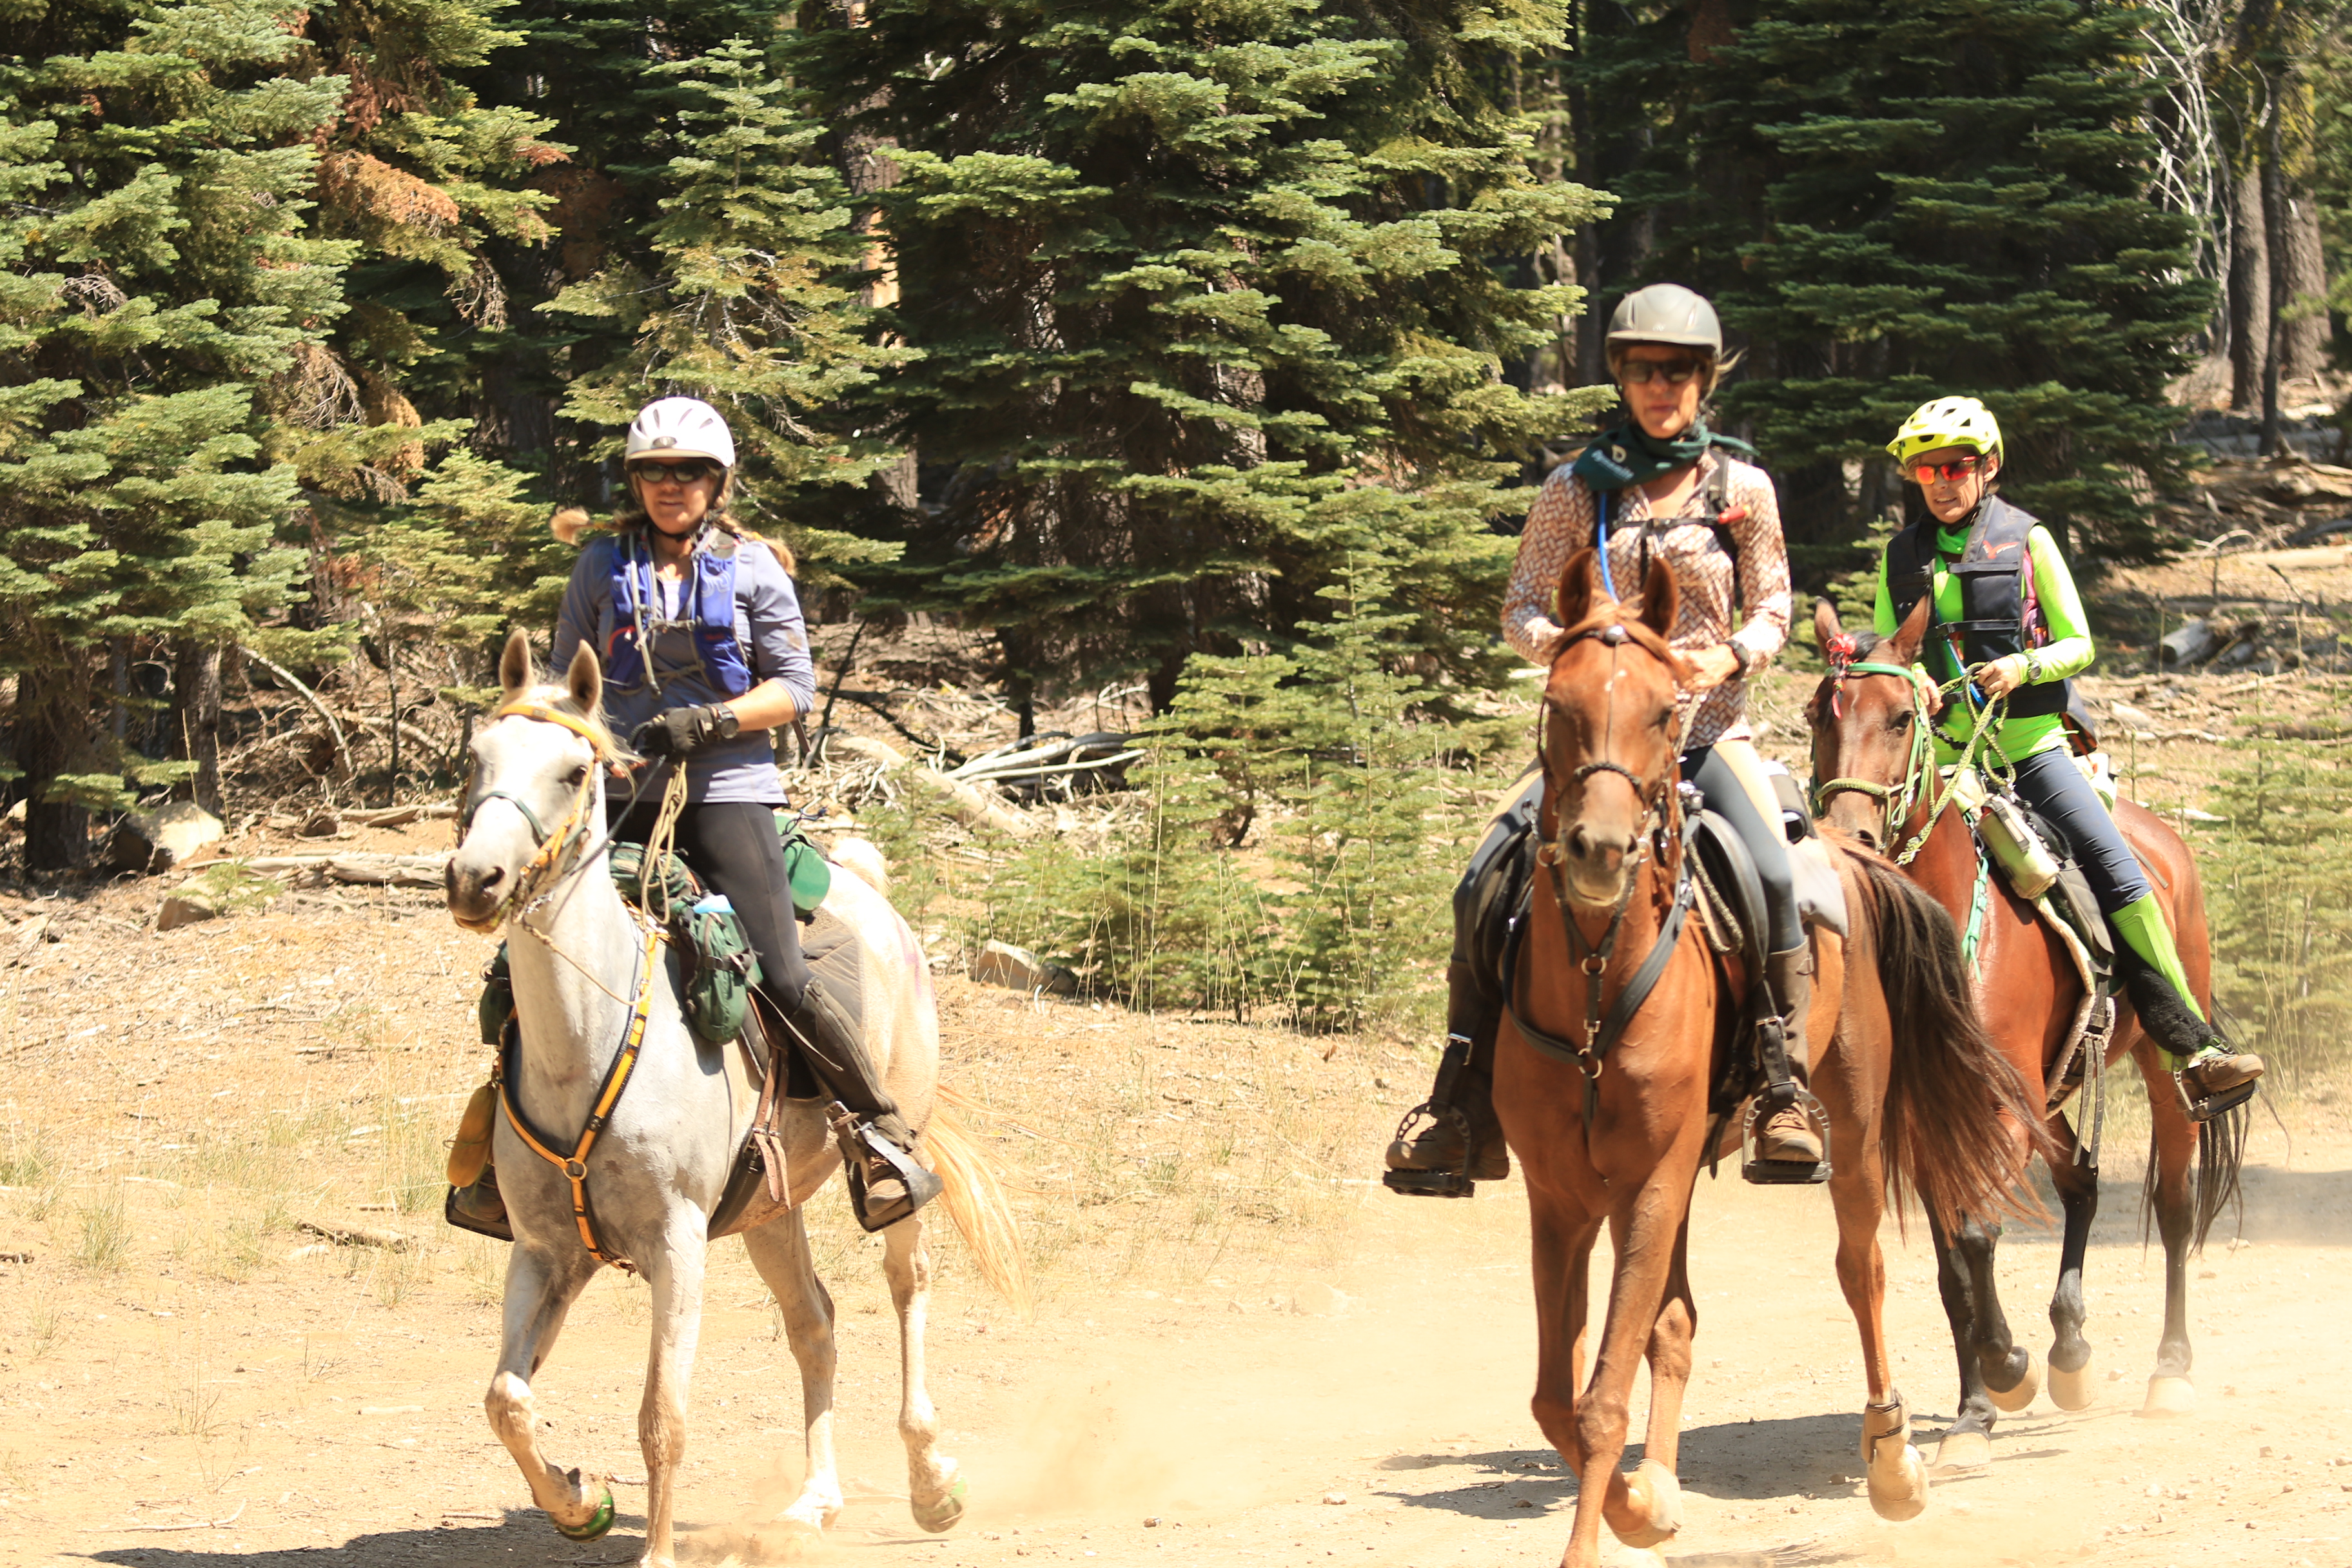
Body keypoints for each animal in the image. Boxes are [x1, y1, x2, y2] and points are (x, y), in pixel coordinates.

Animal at [445, 629, 1026, 1568]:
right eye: (477, 757)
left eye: (574, 770)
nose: (476, 878)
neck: (589, 1046)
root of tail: (868, 889)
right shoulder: (545, 1251)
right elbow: (505, 1399)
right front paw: (580, 1501)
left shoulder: (678, 1244)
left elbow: (663, 1417)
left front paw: (652, 1551)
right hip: (767, 1210)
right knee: (814, 1321)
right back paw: (815, 1501)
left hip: (897, 1158)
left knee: (907, 1285)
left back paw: (933, 1481)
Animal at [1498, 549, 2039, 1567]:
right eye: (1559, 702)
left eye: (1664, 711)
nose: (1599, 849)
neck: (1595, 978)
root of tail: (1852, 855)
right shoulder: (1560, 1196)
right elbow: (1561, 1393)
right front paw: (1645, 1503)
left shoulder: (1650, 1179)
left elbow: (1599, 1400)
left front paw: (1621, 1518)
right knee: (1676, 1322)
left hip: (1857, 1123)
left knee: (1862, 1267)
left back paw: (1893, 1460)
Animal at [1808, 597, 2246, 1468]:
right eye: (1817, 713)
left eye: (1902, 715)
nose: (1848, 839)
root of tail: (2162, 838)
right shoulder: (1930, 1114)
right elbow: (1951, 1259)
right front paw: (1977, 1408)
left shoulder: (2001, 1106)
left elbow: (1978, 1231)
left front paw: (2007, 1368)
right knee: (2081, 1178)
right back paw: (2070, 1351)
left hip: (2155, 1068)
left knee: (2174, 1204)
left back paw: (2169, 1371)